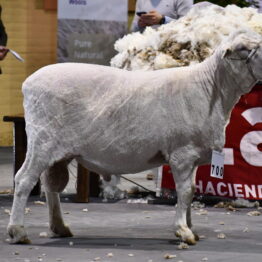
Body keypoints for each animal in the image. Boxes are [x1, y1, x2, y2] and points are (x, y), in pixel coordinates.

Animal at [7, 29, 262, 246]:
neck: (211, 87)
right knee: (24, 179)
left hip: (60, 151)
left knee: (52, 186)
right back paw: (17, 231)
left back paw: (59, 227)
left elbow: (190, 191)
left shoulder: (195, 156)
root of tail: (28, 83)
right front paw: (183, 231)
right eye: (243, 48)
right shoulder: (182, 153)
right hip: (41, 141)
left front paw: (190, 227)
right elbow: (185, 192)